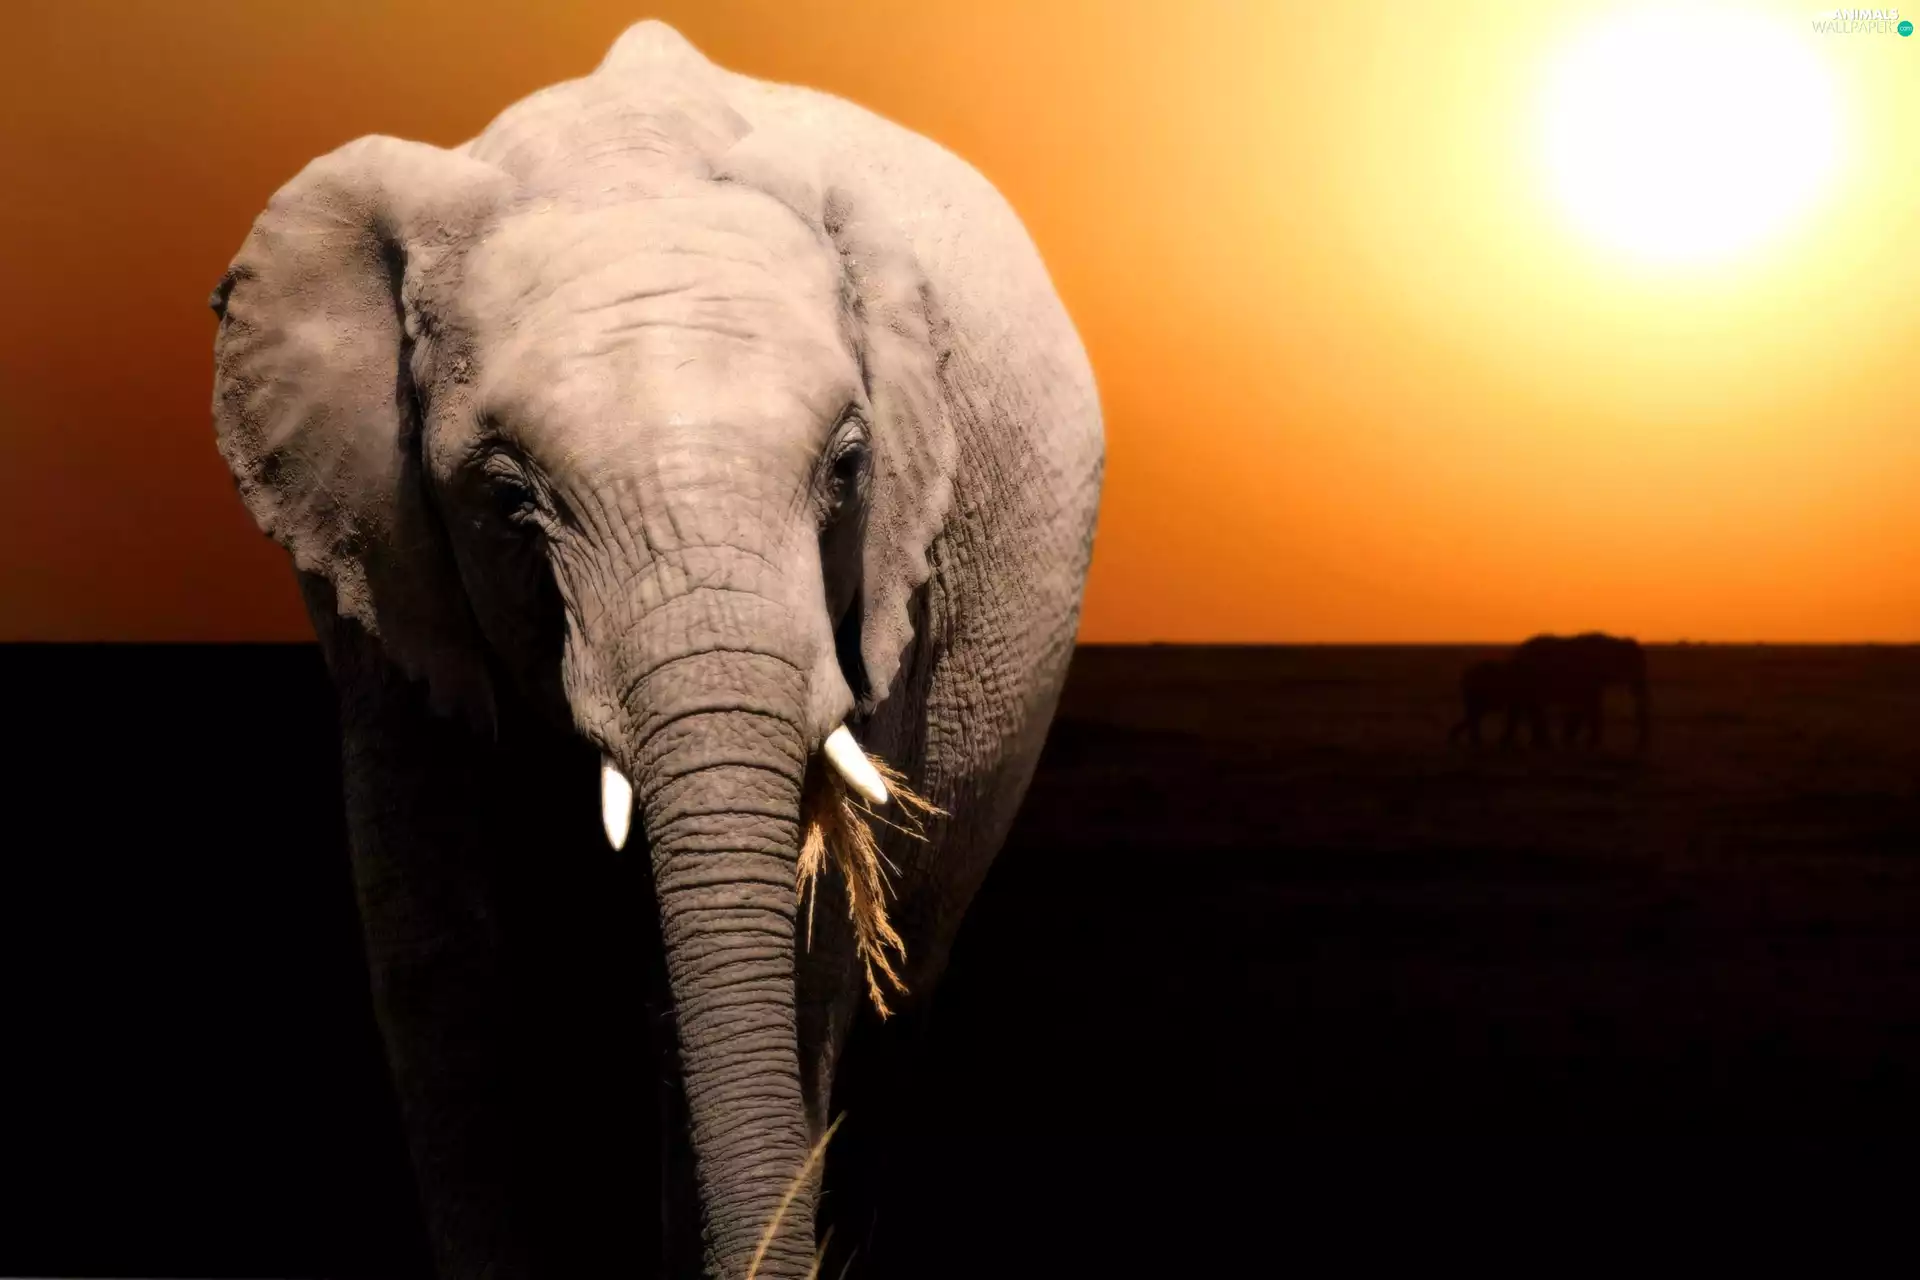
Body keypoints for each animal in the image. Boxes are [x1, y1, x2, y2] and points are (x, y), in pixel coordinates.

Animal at [206, 21, 1102, 1280]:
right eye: (508, 500)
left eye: (848, 468)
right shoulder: (377, 568)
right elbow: (445, 962)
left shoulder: (895, 582)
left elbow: (797, 960)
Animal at [1448, 633, 1651, 752]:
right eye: (1634, 666)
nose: (1639, 747)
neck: (1612, 640)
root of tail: (1516, 654)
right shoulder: (1588, 675)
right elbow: (1589, 705)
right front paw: (1589, 743)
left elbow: (1584, 706)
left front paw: (1573, 741)